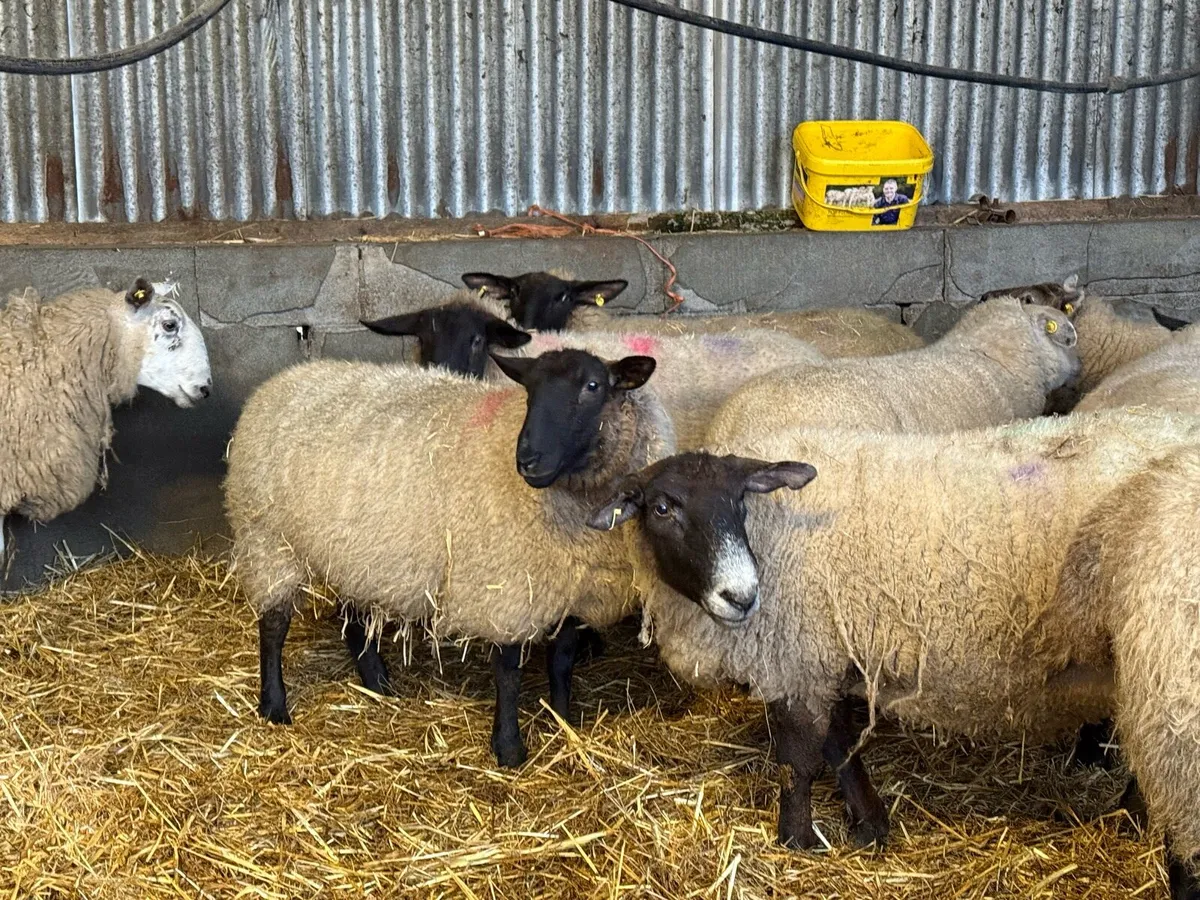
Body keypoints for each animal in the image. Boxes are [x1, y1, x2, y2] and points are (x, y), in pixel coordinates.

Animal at [224, 348, 674, 767]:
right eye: (529, 390)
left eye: (593, 387)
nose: (528, 459)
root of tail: (283, 379)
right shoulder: (505, 587)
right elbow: (508, 673)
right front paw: (508, 748)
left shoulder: (572, 588)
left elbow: (562, 661)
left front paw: (563, 721)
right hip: (268, 540)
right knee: (273, 627)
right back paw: (274, 705)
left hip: (356, 553)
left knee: (352, 622)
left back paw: (377, 683)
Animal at [586, 410, 1200, 852]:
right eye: (661, 507)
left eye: (739, 499)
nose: (741, 595)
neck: (771, 535)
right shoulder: (829, 654)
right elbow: (838, 746)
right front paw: (869, 824)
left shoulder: (799, 656)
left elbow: (799, 760)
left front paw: (797, 839)